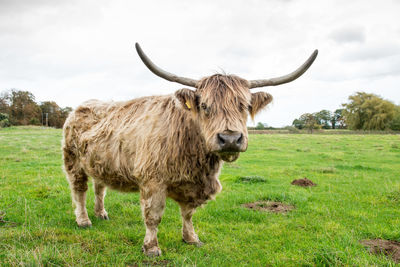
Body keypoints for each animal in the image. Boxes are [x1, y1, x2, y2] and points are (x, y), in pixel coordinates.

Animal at [63, 43, 318, 256]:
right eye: (204, 106)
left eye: (245, 106)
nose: (230, 138)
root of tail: (81, 106)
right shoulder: (153, 181)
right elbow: (153, 216)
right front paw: (151, 248)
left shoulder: (194, 184)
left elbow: (188, 213)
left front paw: (191, 238)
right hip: (73, 161)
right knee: (79, 190)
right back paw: (84, 220)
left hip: (99, 162)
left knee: (99, 187)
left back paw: (101, 213)